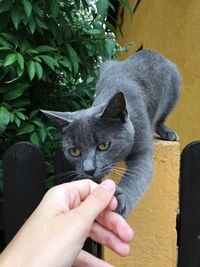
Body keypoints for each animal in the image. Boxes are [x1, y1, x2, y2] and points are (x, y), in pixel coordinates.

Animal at [41, 49, 180, 218]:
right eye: (74, 151)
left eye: (103, 146)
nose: (89, 170)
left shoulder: (143, 149)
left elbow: (136, 176)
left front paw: (121, 198)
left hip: (174, 87)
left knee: (162, 118)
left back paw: (168, 132)